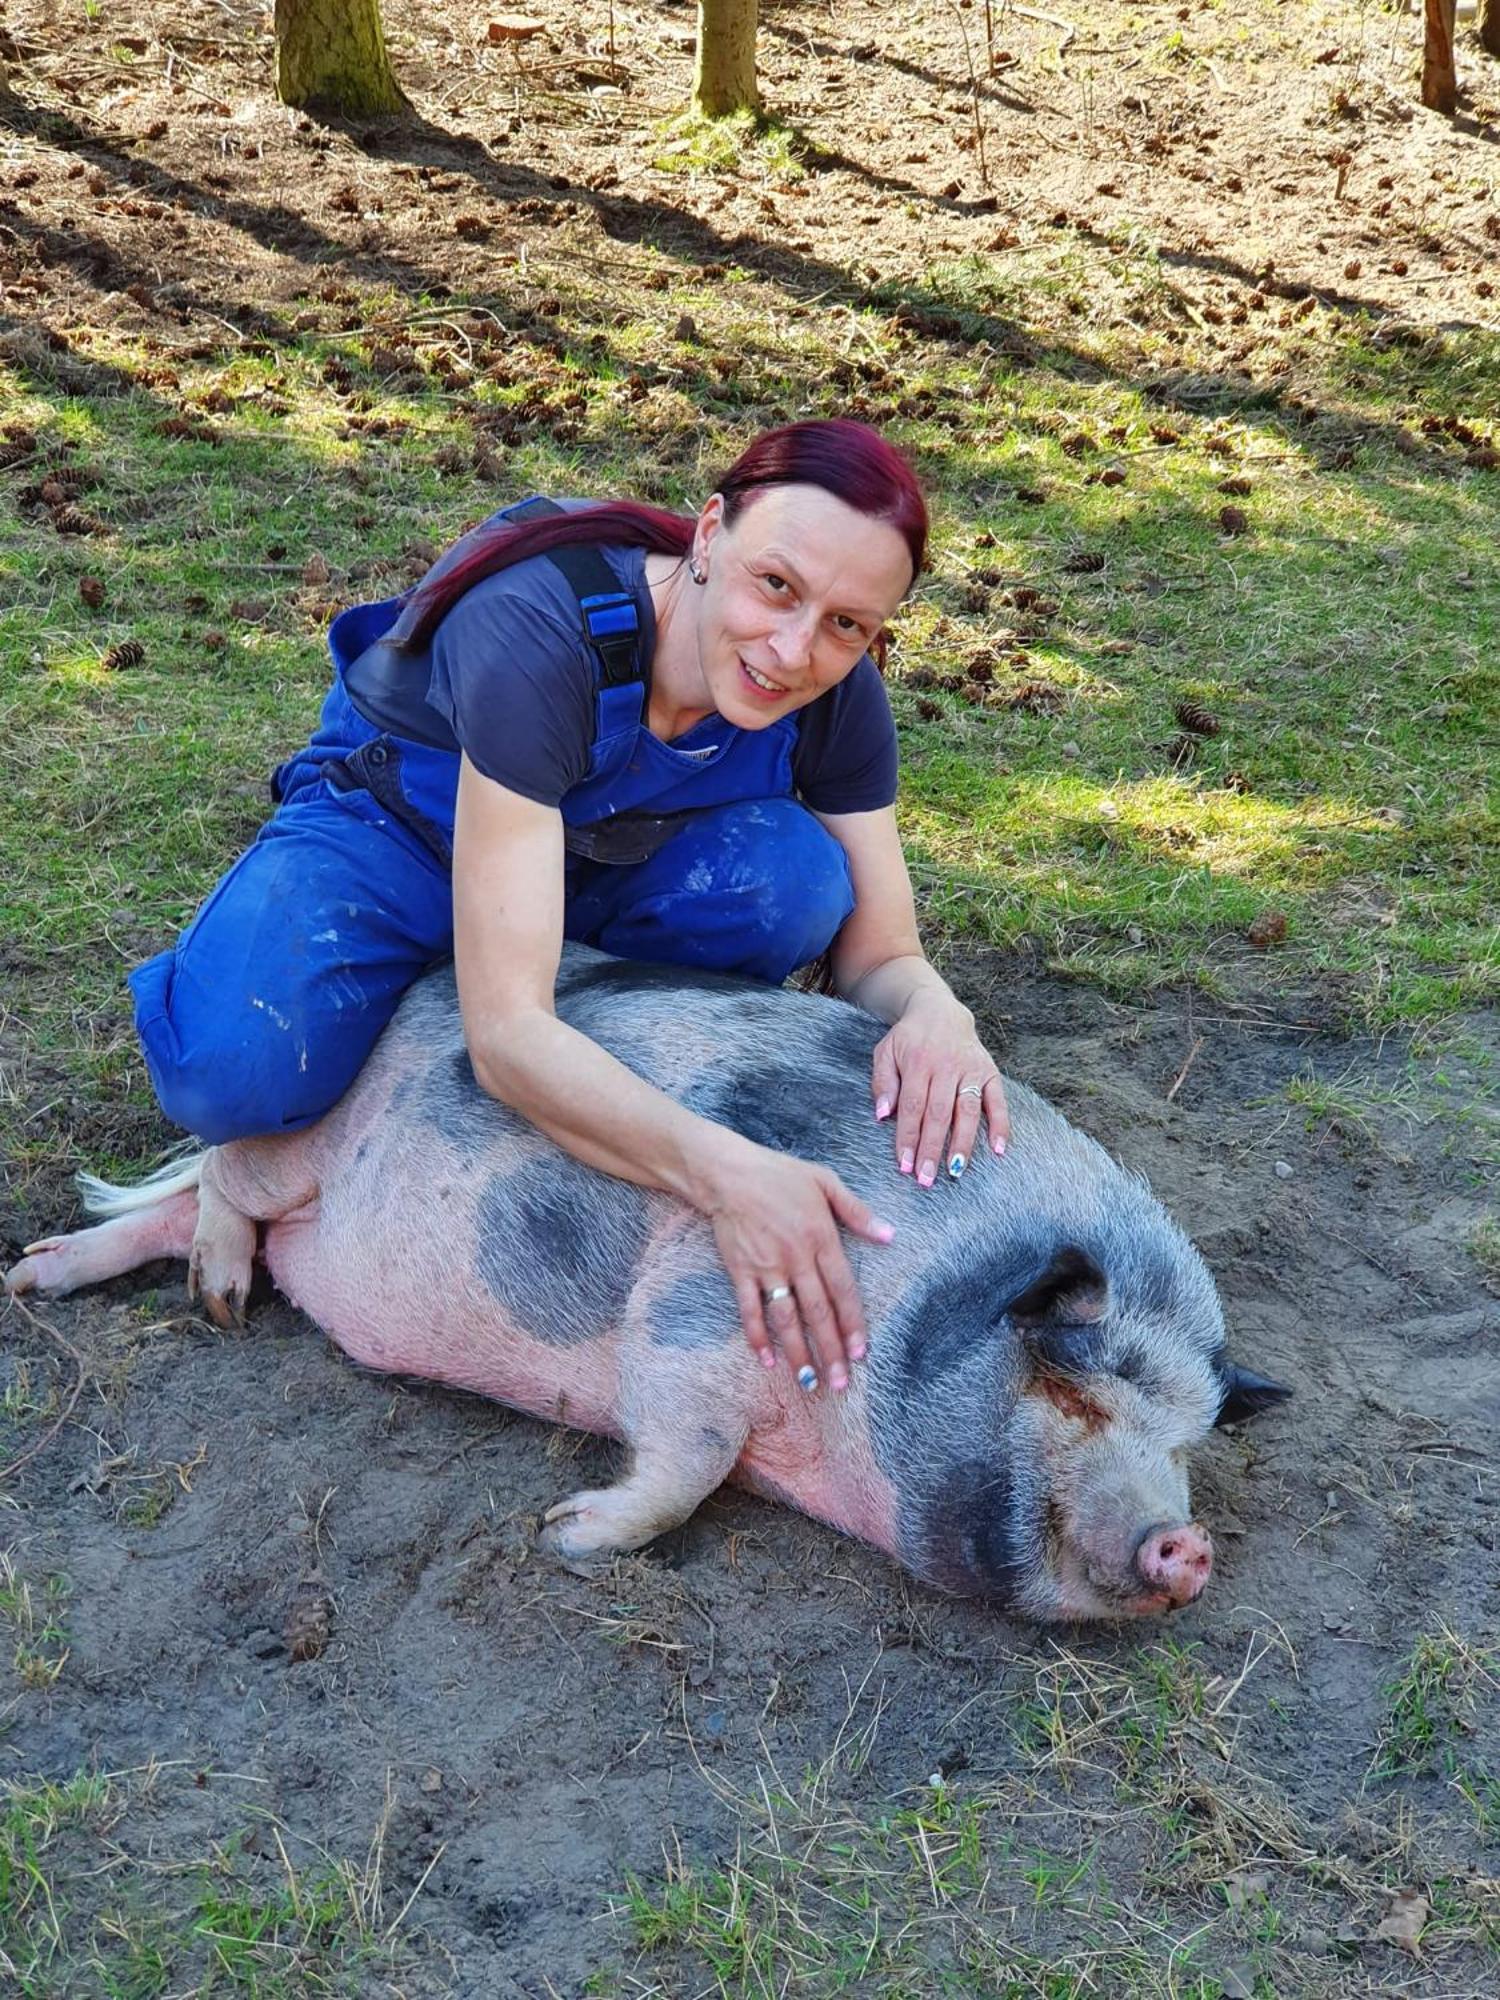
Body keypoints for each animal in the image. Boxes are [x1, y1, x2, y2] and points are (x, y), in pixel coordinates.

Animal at [2, 944, 1296, 1616]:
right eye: (1071, 1383)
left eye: (1189, 1443)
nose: (1186, 1544)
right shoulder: (703, 1303)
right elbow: (691, 1455)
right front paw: (564, 1534)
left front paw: (564, 1528)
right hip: (298, 1121)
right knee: (227, 1174)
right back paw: (200, 1297)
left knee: (190, 1212)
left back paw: (41, 1275)